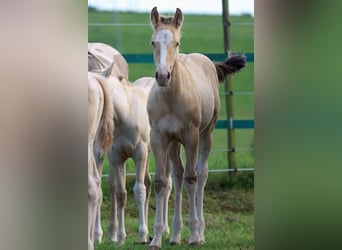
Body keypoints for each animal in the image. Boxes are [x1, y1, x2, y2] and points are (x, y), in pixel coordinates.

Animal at [88, 47, 152, 244]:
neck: (125, 113)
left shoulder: (140, 153)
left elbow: (139, 191)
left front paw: (142, 235)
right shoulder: (117, 157)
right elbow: (120, 194)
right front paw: (121, 237)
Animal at [148, 6, 246, 249]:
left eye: (176, 43)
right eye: (153, 42)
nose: (162, 76)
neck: (171, 99)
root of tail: (208, 62)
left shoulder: (191, 136)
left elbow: (192, 179)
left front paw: (193, 236)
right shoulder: (158, 137)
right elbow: (162, 181)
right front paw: (156, 239)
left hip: (205, 134)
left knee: (201, 175)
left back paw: (199, 233)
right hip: (173, 143)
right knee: (177, 175)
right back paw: (174, 236)